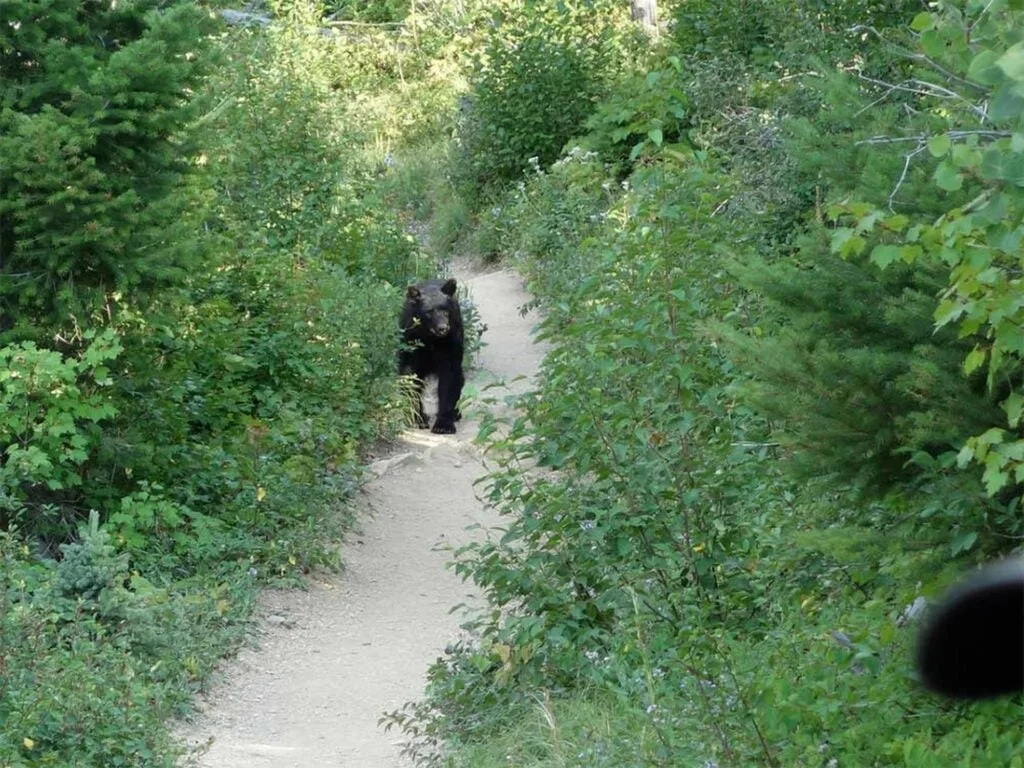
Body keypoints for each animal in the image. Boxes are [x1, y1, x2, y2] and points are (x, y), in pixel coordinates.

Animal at [397, 278, 466, 436]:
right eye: (429, 312)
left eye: (446, 310)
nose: (443, 328)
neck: (431, 338)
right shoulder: (411, 340)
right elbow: (410, 375)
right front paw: (417, 419)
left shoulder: (451, 341)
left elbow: (449, 379)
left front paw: (443, 425)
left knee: (460, 379)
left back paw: (456, 413)